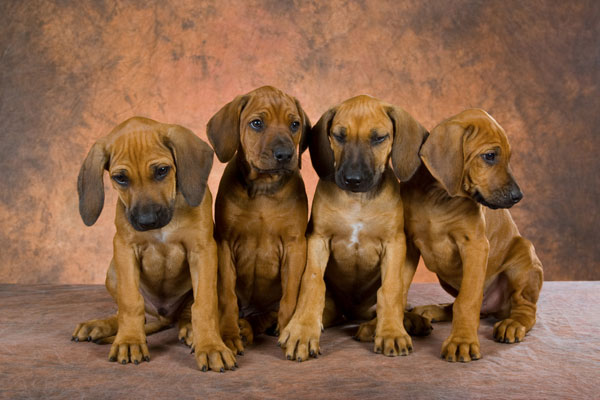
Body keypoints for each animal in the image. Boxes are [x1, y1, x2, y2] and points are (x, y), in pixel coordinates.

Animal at [72, 115, 237, 372]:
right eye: (121, 178)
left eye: (162, 171)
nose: (147, 221)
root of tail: (165, 316)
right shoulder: (124, 248)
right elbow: (131, 303)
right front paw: (129, 340)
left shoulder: (202, 249)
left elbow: (204, 305)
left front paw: (211, 346)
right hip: (113, 271)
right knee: (131, 313)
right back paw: (100, 325)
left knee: (187, 313)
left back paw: (190, 330)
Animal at [205, 84, 310, 354]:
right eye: (256, 123)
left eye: (294, 124)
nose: (285, 154)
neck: (264, 187)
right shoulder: (224, 245)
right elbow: (227, 296)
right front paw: (229, 335)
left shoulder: (295, 246)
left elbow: (290, 296)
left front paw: (288, 331)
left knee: (267, 315)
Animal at [278, 95, 428, 360]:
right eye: (339, 136)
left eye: (379, 138)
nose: (353, 180)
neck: (357, 201)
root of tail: (351, 312)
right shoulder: (318, 239)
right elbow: (312, 283)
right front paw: (302, 330)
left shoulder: (395, 242)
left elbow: (391, 289)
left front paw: (391, 332)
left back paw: (402, 322)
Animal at [398, 109, 544, 362]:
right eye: (490, 156)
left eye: (508, 157)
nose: (518, 196)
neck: (438, 197)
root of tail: (495, 308)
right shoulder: (409, 245)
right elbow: (399, 287)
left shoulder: (475, 246)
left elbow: (467, 301)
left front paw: (461, 341)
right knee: (458, 303)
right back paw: (433, 310)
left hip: (524, 257)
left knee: (526, 309)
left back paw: (513, 324)